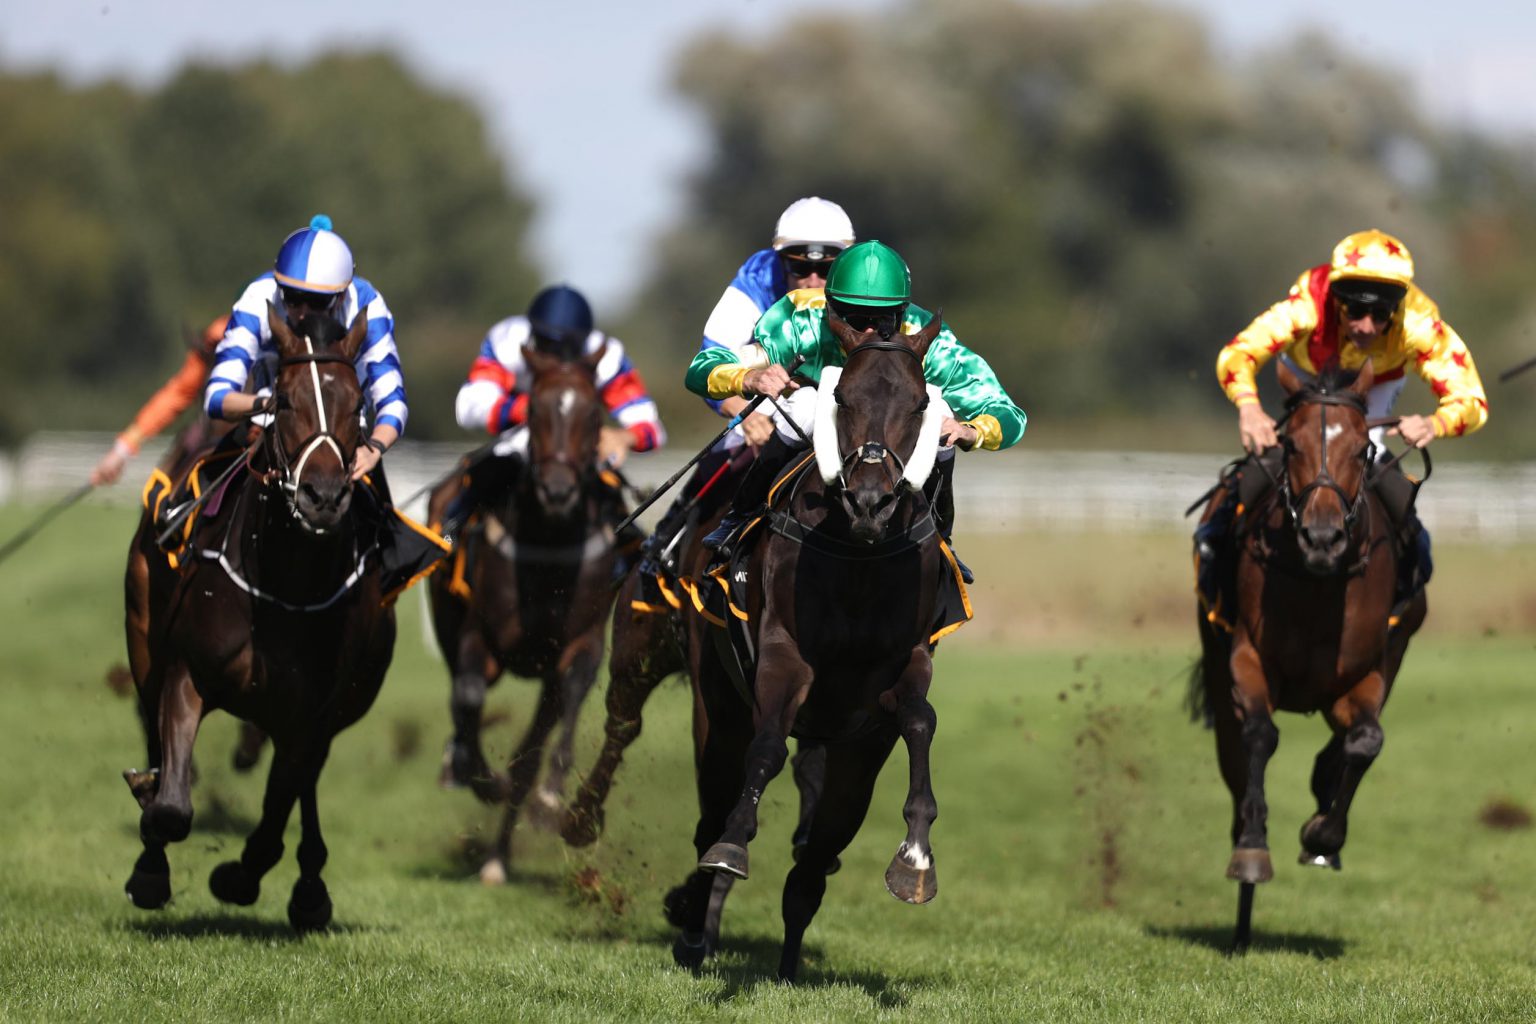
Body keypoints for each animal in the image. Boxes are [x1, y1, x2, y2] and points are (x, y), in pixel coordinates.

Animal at [122, 307, 396, 927]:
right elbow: (171, 803)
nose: (323, 495)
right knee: (153, 732)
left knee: (304, 787)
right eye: (287, 401)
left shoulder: (310, 712)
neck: (283, 581)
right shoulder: (187, 673)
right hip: (143, 636)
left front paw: (240, 877)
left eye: (356, 404)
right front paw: (151, 856)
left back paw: (310, 887)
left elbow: (277, 813)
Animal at [423, 342, 620, 884]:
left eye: (594, 414)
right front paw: (477, 775)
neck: (549, 546)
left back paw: (498, 856)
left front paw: (550, 798)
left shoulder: (582, 642)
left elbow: (567, 702)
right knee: (462, 702)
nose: (558, 491)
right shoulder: (479, 637)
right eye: (533, 411)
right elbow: (468, 697)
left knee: (529, 750)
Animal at [672, 314, 958, 982]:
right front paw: (735, 845)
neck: (859, 555)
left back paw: (785, 965)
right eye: (842, 397)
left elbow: (920, 719)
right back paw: (694, 926)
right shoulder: (784, 652)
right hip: (715, 707)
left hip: (850, 763)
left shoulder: (899, 671)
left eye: (921, 403)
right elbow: (768, 746)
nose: (871, 500)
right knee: (710, 813)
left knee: (812, 865)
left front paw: (915, 856)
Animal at [1185, 362, 1425, 951]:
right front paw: (1252, 851)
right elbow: (1259, 737)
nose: (1322, 537)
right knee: (1236, 765)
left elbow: (1366, 740)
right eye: (1290, 444)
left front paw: (1322, 834)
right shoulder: (1247, 661)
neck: (1319, 585)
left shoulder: (1363, 676)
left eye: (1363, 448)